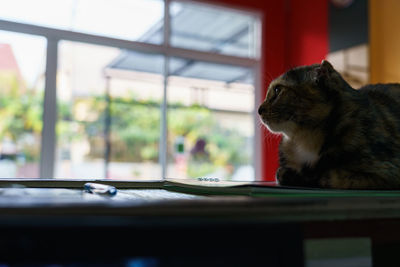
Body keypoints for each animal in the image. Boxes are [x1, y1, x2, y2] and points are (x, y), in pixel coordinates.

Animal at [258, 60, 400, 191]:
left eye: (278, 90)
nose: (259, 110)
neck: (304, 140)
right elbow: (280, 173)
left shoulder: (386, 172)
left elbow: (328, 176)